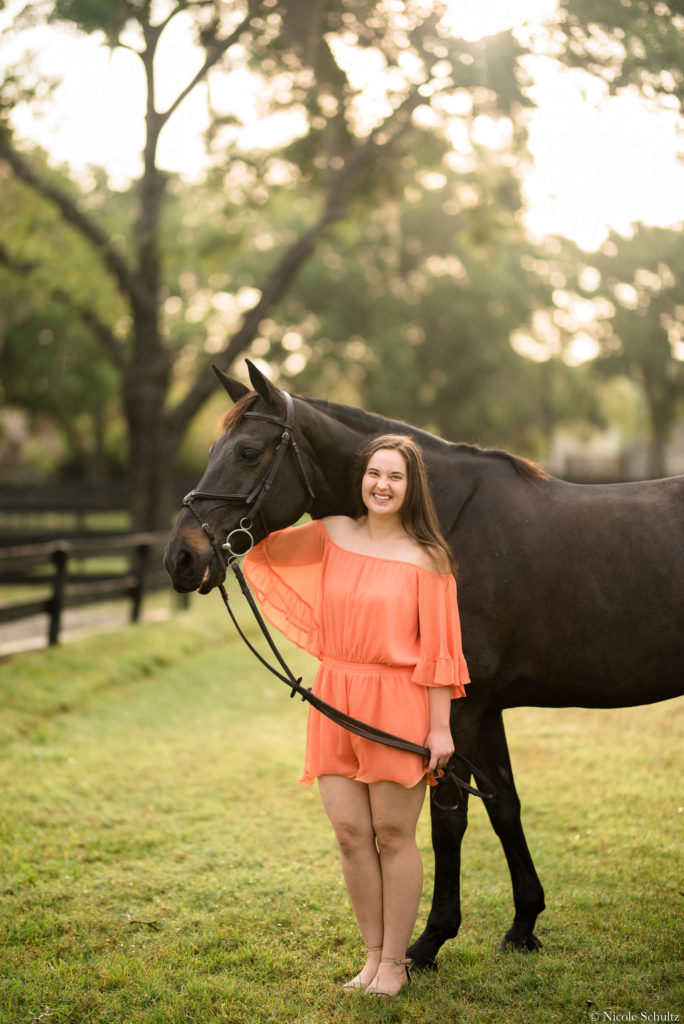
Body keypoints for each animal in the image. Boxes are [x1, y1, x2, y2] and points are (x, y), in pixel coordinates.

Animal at [163, 362, 684, 966]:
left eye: (248, 452)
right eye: (212, 449)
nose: (180, 557)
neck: (448, 523)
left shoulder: (460, 709)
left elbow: (448, 820)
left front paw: (430, 940)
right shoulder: (485, 708)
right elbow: (504, 806)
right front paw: (524, 923)